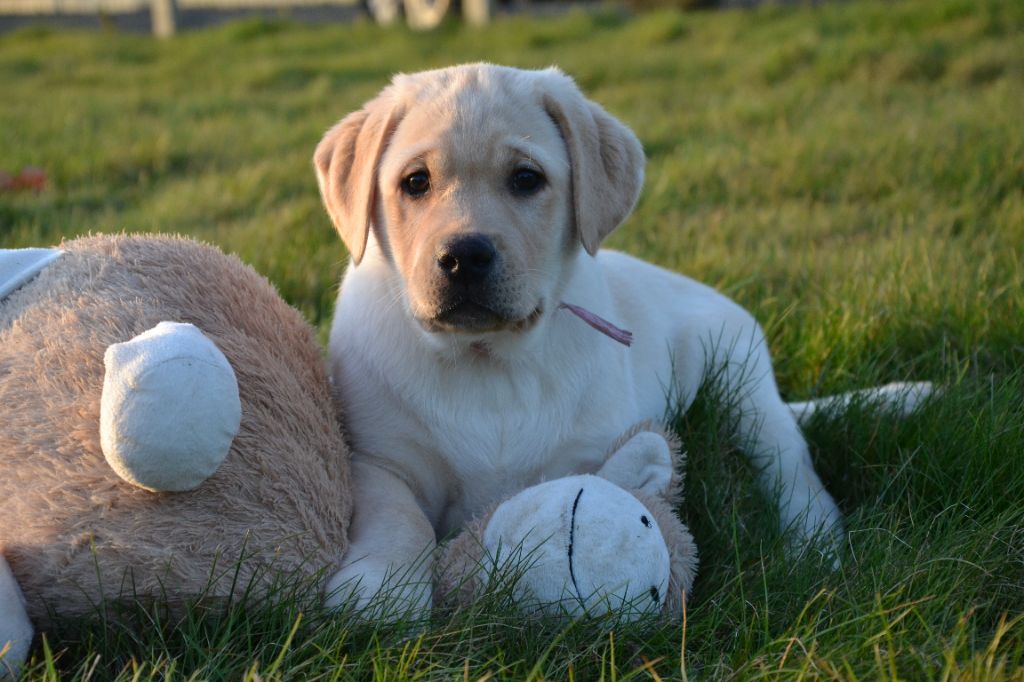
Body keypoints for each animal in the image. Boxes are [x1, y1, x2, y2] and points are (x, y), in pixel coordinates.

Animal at [315, 65, 925, 614]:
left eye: (526, 179)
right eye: (415, 182)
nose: (464, 256)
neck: (488, 361)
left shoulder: (592, 450)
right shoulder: (377, 458)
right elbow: (399, 517)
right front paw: (383, 587)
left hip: (744, 382)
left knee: (789, 463)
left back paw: (815, 543)